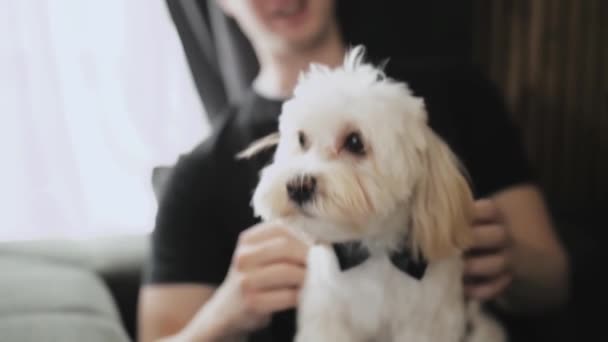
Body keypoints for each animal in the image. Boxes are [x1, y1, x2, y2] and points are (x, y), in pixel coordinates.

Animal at [238, 46, 504, 342]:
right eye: (302, 139)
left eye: (355, 142)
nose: (298, 185)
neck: (373, 252)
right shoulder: (327, 319)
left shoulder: (427, 323)